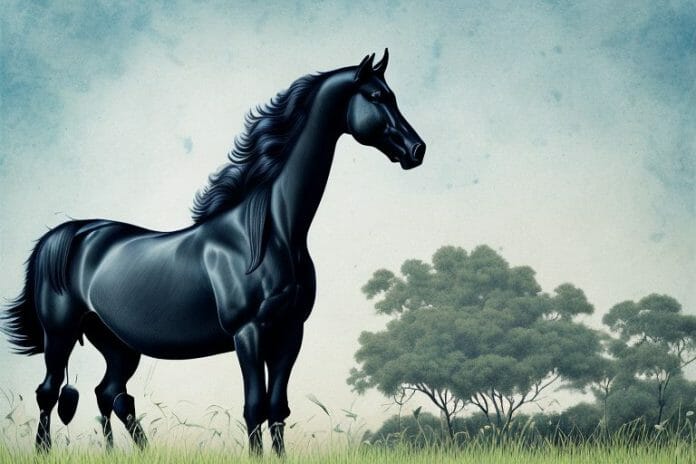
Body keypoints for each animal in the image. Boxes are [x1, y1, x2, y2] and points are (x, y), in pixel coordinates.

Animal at [1, 49, 425, 456]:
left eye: (393, 95)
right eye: (375, 97)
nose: (416, 149)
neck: (269, 235)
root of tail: (71, 234)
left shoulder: (290, 332)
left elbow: (278, 407)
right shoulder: (249, 333)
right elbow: (254, 406)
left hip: (118, 345)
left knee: (111, 395)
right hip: (60, 334)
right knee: (50, 392)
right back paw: (44, 450)